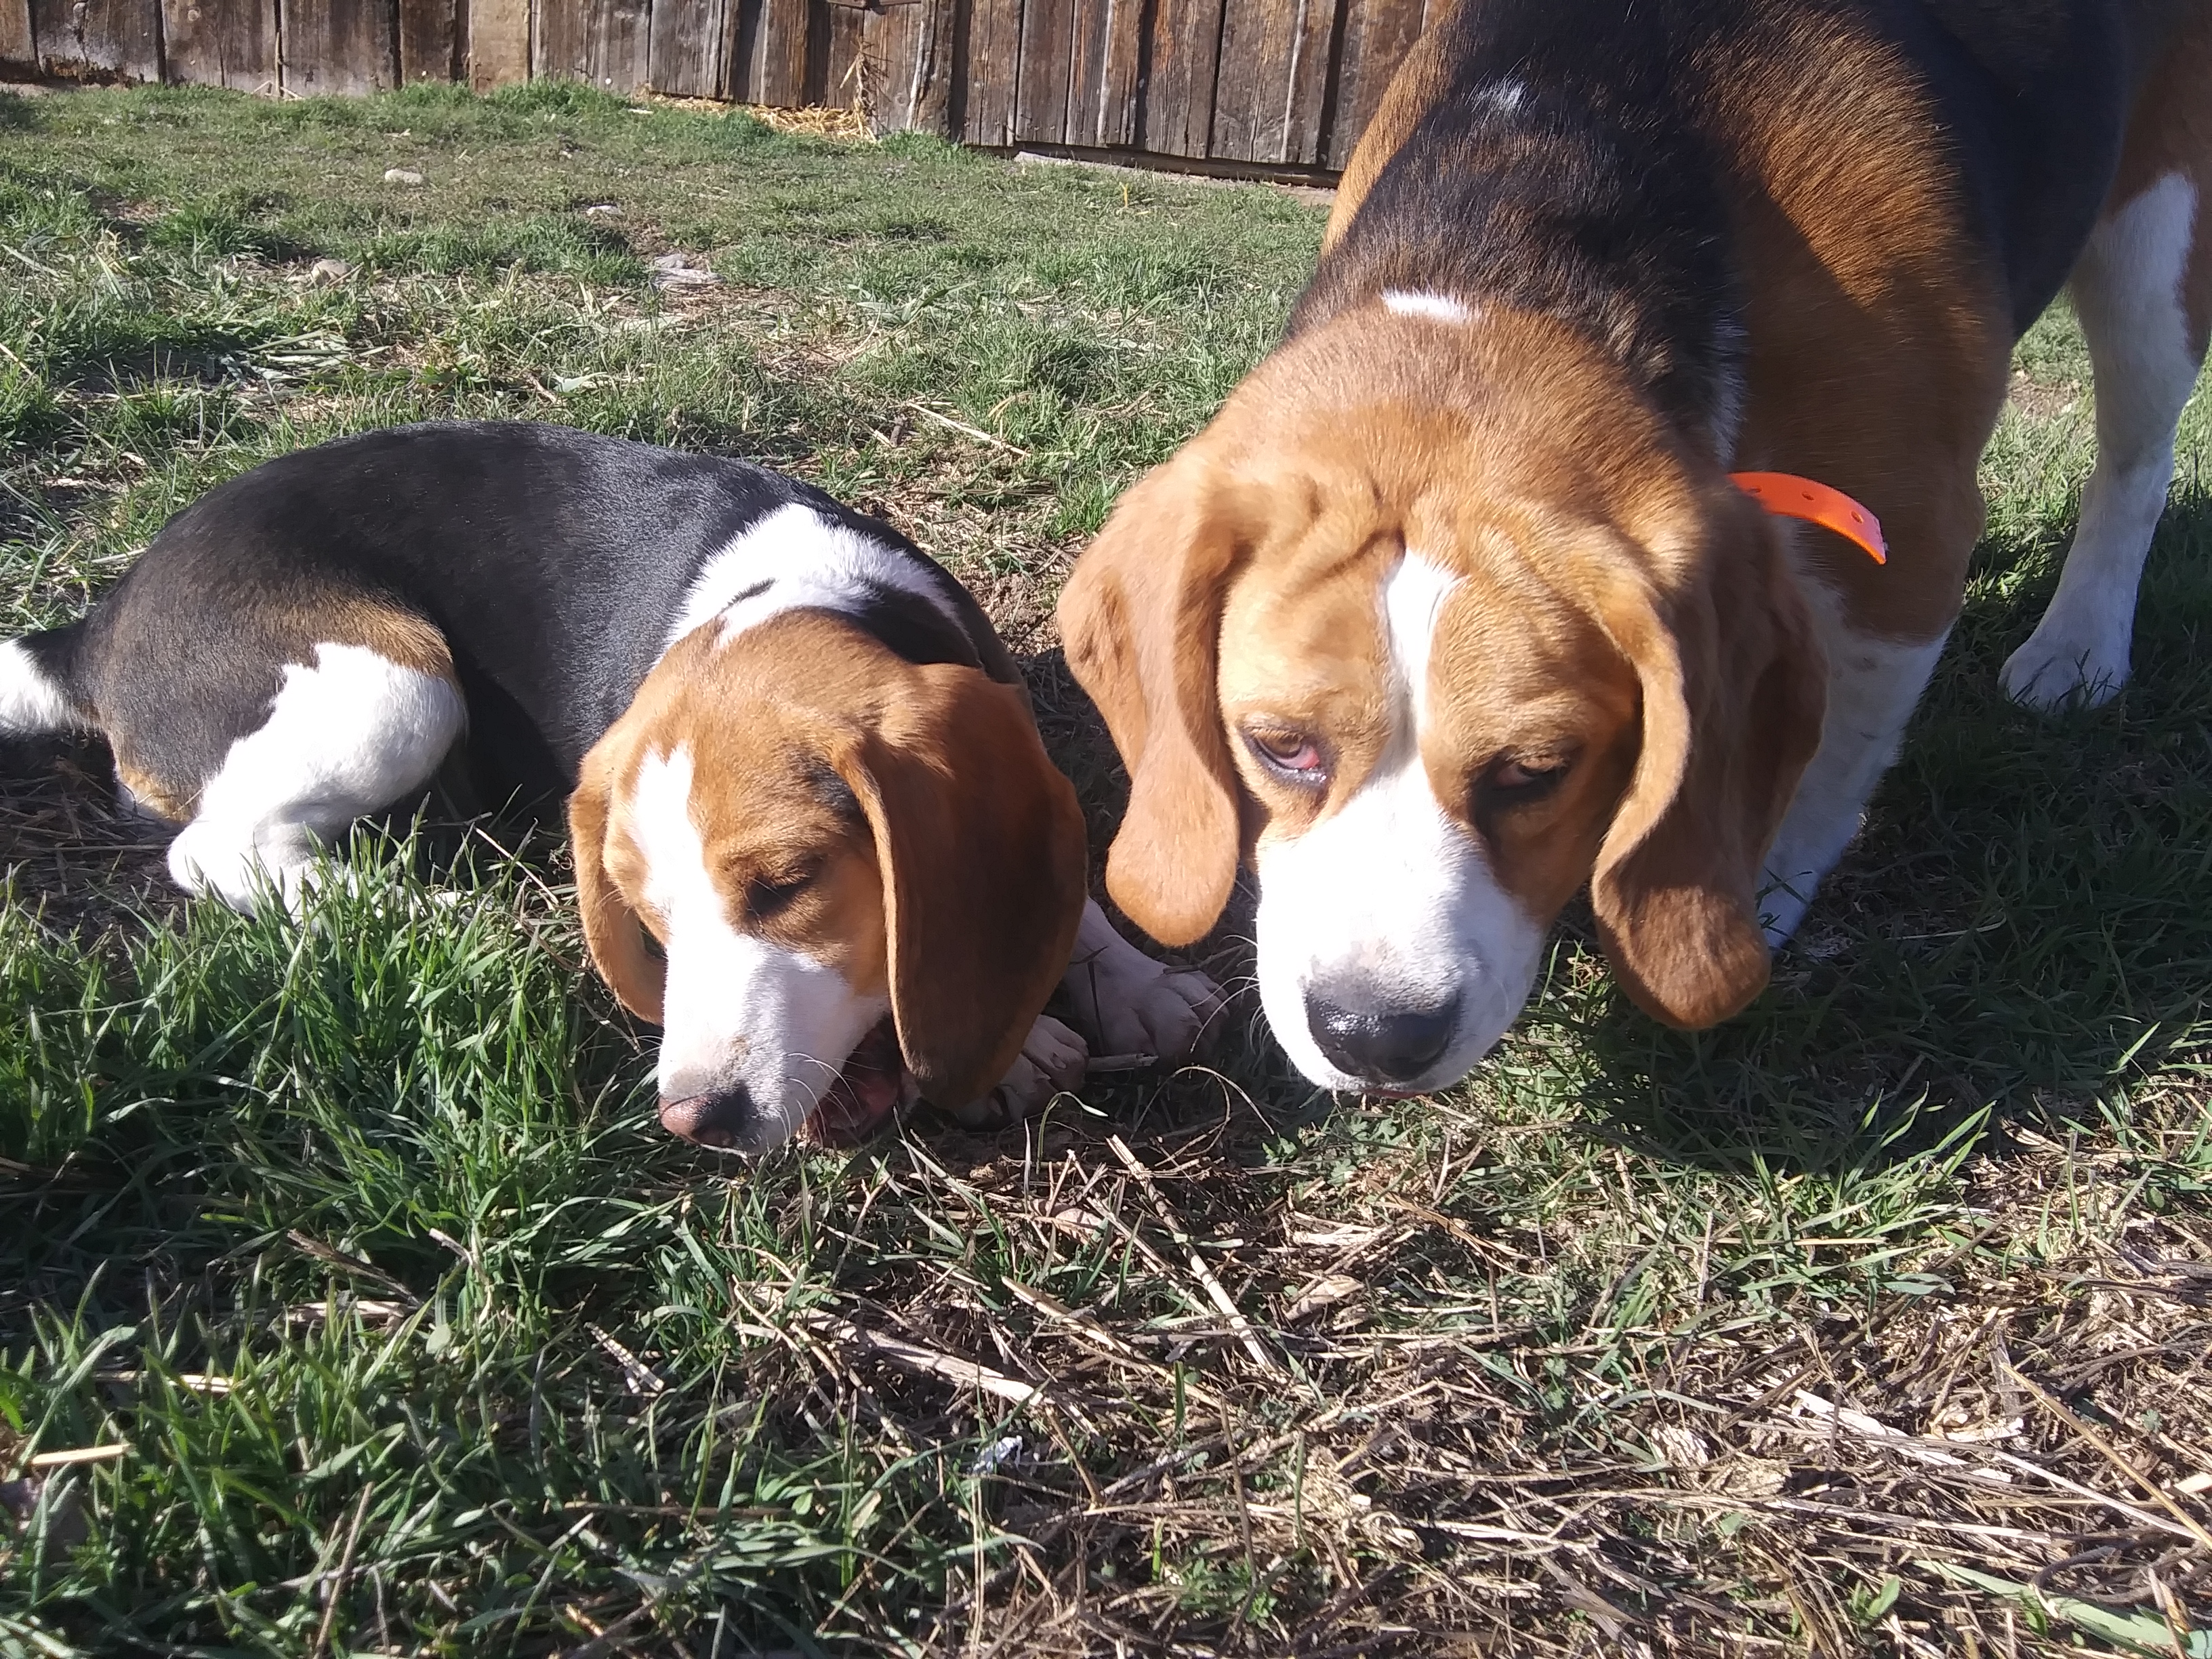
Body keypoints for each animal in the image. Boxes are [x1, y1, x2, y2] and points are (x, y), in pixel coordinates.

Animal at [0, 421, 1221, 1149]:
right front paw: (1019, 1053)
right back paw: (422, 910)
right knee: (216, 848)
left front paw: (1130, 980)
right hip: (398, 681)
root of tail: (102, 620)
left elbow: (1072, 889)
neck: (819, 590)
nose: (694, 1118)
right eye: (646, 915)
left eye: (786, 885)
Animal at [1059, 0, 2210, 1095]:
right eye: (1277, 747)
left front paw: (1762, 894)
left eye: (1538, 771)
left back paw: (2079, 647)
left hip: (2158, 250)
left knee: (2136, 461)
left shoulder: (1910, 552)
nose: (1375, 1036)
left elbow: (1834, 755)